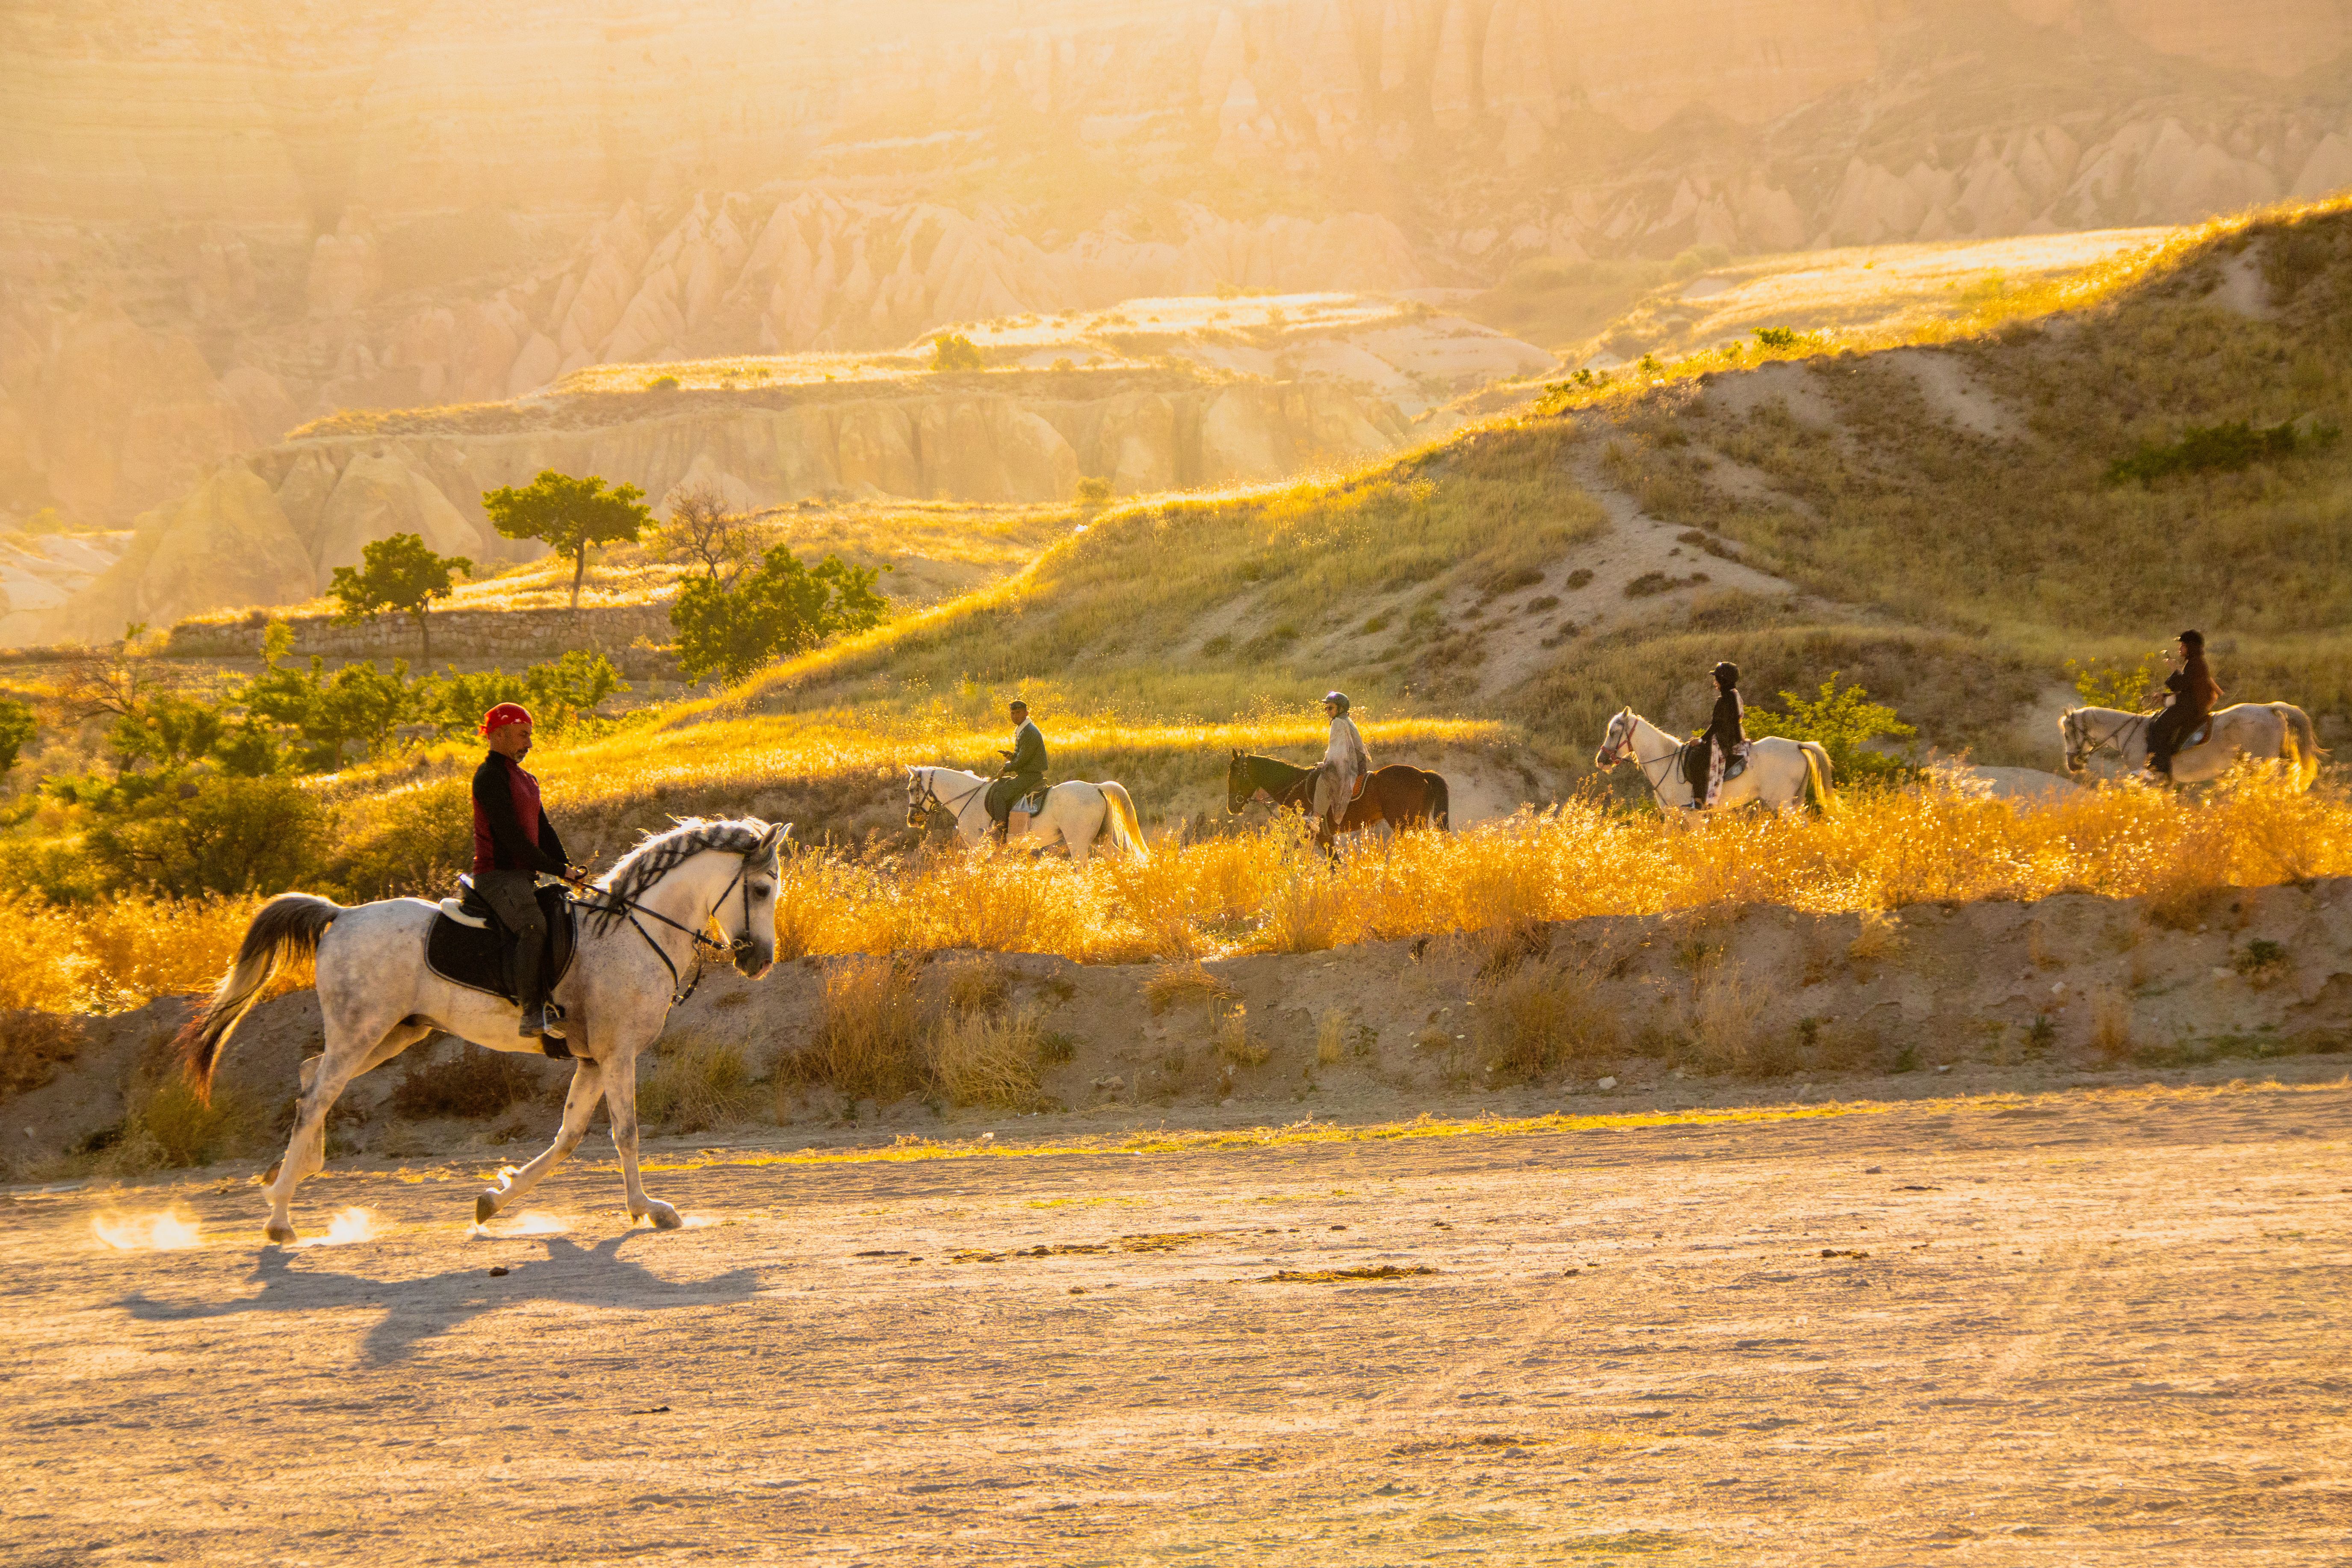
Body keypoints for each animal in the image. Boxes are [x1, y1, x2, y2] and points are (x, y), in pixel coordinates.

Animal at [177, 817, 790, 1243]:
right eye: (762, 890)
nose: (760, 962)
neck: (631, 933)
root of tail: (342, 916)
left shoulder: (593, 1060)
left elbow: (567, 1138)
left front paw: (494, 1200)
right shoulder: (617, 1055)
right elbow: (626, 1133)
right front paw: (651, 1210)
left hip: (394, 1033)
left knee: (311, 1078)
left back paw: (293, 1174)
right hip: (362, 1030)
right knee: (317, 1097)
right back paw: (280, 1216)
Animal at [906, 766, 1149, 863]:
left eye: (911, 789)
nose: (912, 820)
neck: (969, 797)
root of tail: (1096, 787)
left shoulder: (977, 847)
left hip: (1078, 843)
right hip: (1100, 840)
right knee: (1122, 858)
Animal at [1225, 751, 1450, 849]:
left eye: (1235, 775)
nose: (1232, 807)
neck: (1295, 786)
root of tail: (1422, 774)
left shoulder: (1318, 836)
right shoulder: (1321, 837)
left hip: (1406, 824)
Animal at [1596, 707, 1836, 814]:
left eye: (1614, 732)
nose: (1601, 760)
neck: (1666, 763)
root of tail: (1797, 745)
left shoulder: (1692, 815)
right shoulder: (1673, 817)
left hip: (1783, 803)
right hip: (1794, 801)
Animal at [2061, 702, 2321, 790]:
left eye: (2067, 733)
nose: (2072, 764)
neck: (2130, 733)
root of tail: (2270, 708)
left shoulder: (2147, 777)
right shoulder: (2165, 781)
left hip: (2262, 764)